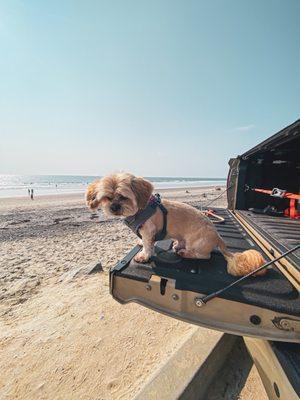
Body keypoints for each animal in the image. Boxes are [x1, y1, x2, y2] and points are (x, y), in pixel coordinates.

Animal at [85, 172, 266, 276]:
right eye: (107, 198)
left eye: (123, 197)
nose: (114, 207)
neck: (138, 211)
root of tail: (218, 237)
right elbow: (144, 242)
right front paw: (140, 243)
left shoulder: (148, 231)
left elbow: (148, 246)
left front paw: (144, 255)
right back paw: (178, 245)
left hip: (196, 243)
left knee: (203, 256)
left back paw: (185, 253)